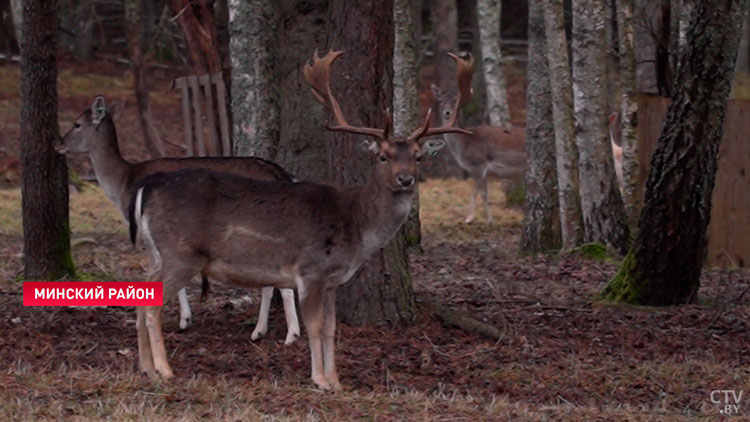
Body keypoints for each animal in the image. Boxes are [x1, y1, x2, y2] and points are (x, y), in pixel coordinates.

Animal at [54, 98, 302, 346]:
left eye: (77, 124)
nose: (58, 145)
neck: (123, 184)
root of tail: (281, 174)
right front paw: (185, 318)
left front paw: (182, 319)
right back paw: (259, 330)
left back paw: (290, 334)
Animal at [128, 49, 470, 390]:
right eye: (383, 156)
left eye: (418, 157)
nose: (405, 180)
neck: (356, 224)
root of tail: (147, 187)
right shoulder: (311, 270)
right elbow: (314, 327)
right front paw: (319, 379)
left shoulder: (333, 281)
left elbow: (331, 328)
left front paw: (336, 381)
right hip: (181, 253)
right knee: (152, 304)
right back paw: (165, 370)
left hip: (158, 252)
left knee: (142, 294)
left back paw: (146, 368)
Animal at [432, 52, 532, 223]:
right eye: (440, 100)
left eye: (455, 100)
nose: (447, 112)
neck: (464, 145)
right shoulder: (485, 171)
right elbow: (485, 194)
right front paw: (489, 220)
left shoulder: (478, 164)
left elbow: (474, 191)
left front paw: (469, 218)